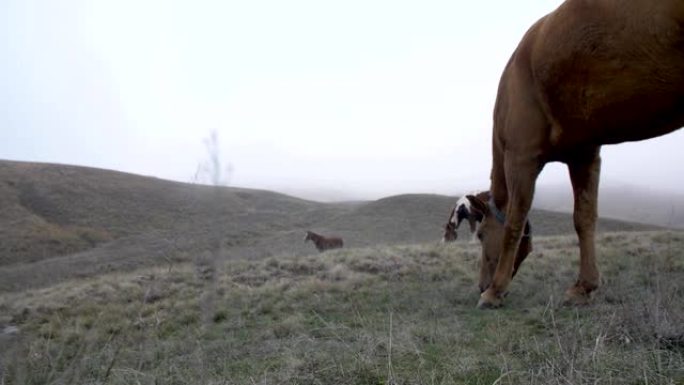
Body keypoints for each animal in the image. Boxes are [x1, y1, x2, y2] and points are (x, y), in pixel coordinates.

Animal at [468, 0, 684, 308]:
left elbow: (513, 223)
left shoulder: (520, 158)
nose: (481, 285)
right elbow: (584, 219)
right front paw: (584, 286)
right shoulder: (583, 155)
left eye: (481, 234)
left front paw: (495, 292)